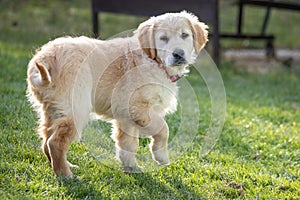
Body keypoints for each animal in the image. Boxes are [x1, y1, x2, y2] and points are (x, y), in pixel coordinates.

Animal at [26, 10, 209, 177]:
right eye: (163, 38)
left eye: (185, 35)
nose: (178, 54)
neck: (153, 61)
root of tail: (44, 58)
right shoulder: (138, 108)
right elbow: (163, 128)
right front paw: (161, 157)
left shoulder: (126, 116)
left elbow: (128, 144)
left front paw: (131, 167)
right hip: (77, 107)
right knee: (55, 142)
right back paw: (66, 175)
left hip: (53, 108)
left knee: (46, 138)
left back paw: (66, 166)